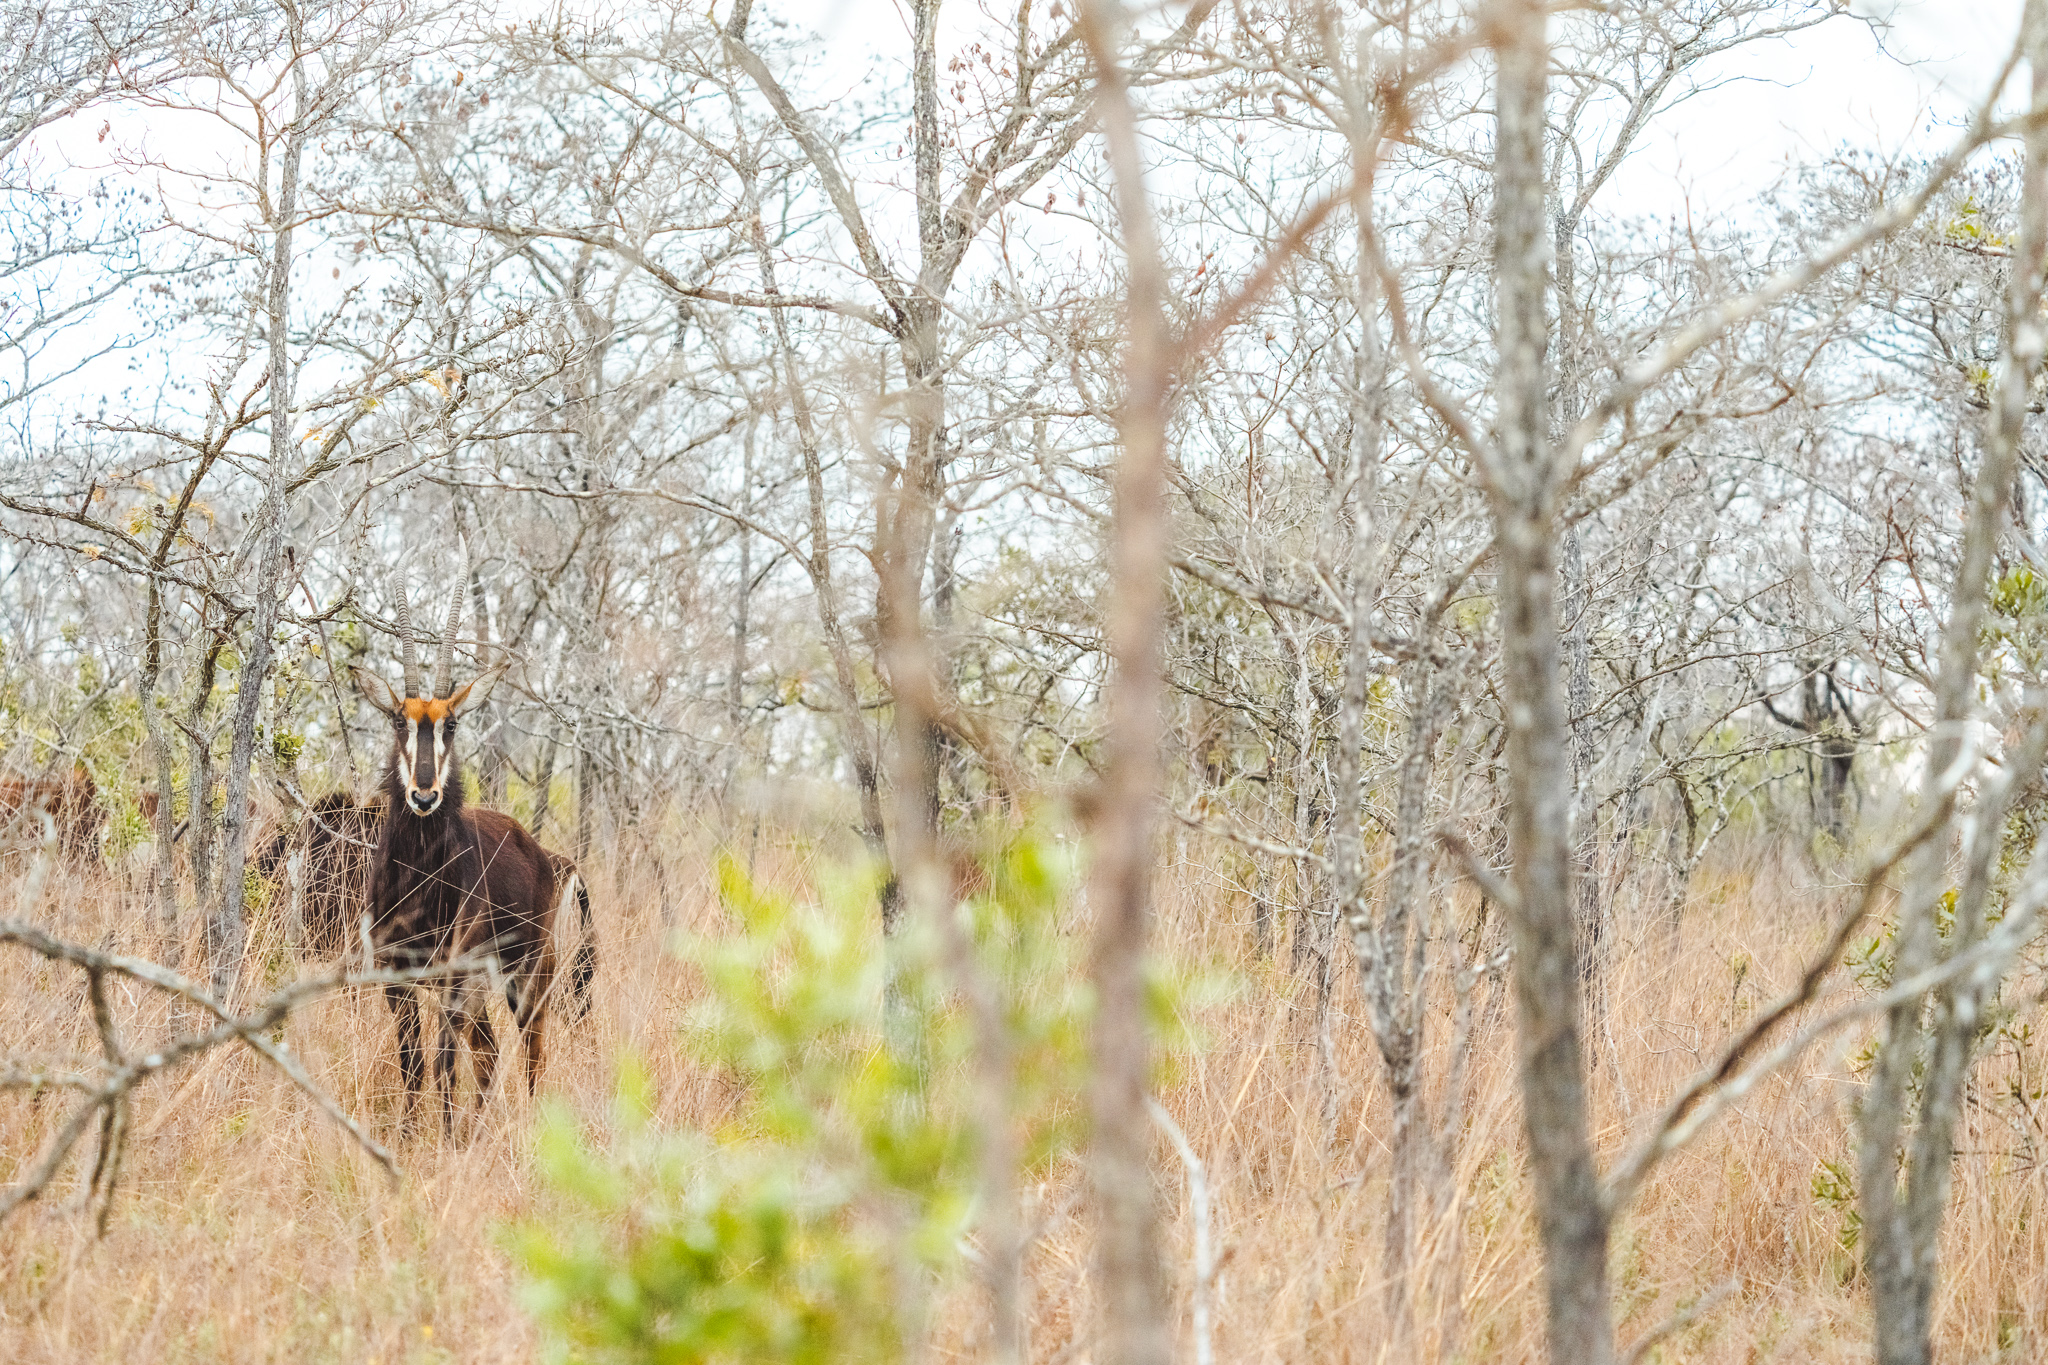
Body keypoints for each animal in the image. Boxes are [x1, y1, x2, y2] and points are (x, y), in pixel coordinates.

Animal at [350, 556, 593, 1129]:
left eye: (452, 724)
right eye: (399, 720)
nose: (424, 794)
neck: (417, 875)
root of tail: (552, 859)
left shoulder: (452, 980)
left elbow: (441, 1066)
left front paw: (442, 1138)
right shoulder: (398, 981)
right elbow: (413, 1065)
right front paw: (412, 1137)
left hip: (529, 976)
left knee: (530, 1052)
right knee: (488, 1053)